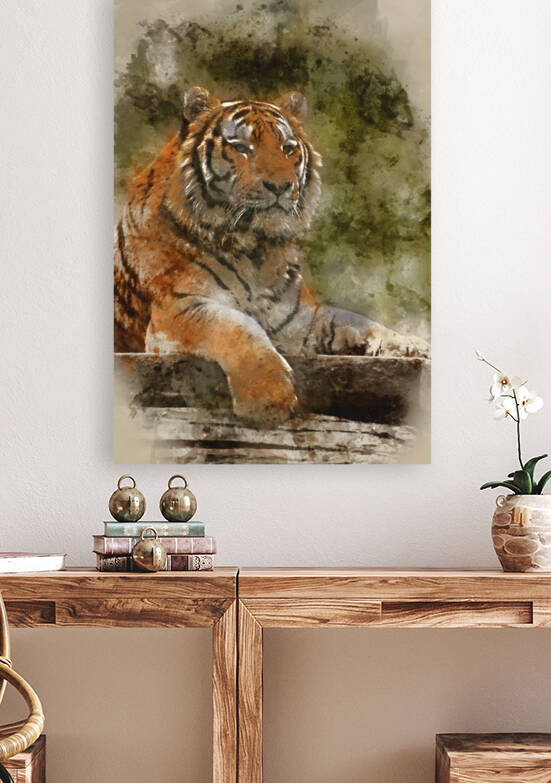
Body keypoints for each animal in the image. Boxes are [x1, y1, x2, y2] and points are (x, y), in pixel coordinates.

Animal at [115, 86, 428, 424]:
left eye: (288, 148)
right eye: (241, 147)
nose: (280, 186)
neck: (257, 251)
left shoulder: (298, 321)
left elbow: (358, 321)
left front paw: (413, 347)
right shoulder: (179, 310)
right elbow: (237, 327)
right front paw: (267, 396)